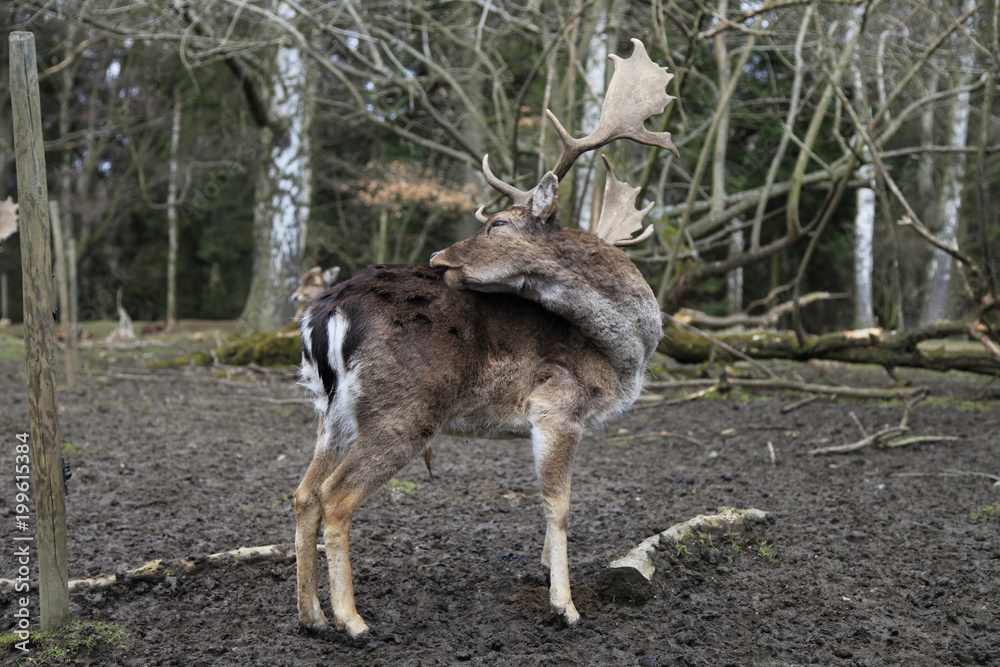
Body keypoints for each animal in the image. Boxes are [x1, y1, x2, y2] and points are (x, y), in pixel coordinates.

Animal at [293, 38, 678, 638]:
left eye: (497, 223)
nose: (438, 258)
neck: (621, 357)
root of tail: (325, 313)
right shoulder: (558, 403)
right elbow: (559, 504)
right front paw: (565, 606)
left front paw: (542, 571)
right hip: (404, 408)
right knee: (336, 496)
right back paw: (353, 621)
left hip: (328, 409)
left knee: (304, 492)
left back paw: (310, 616)